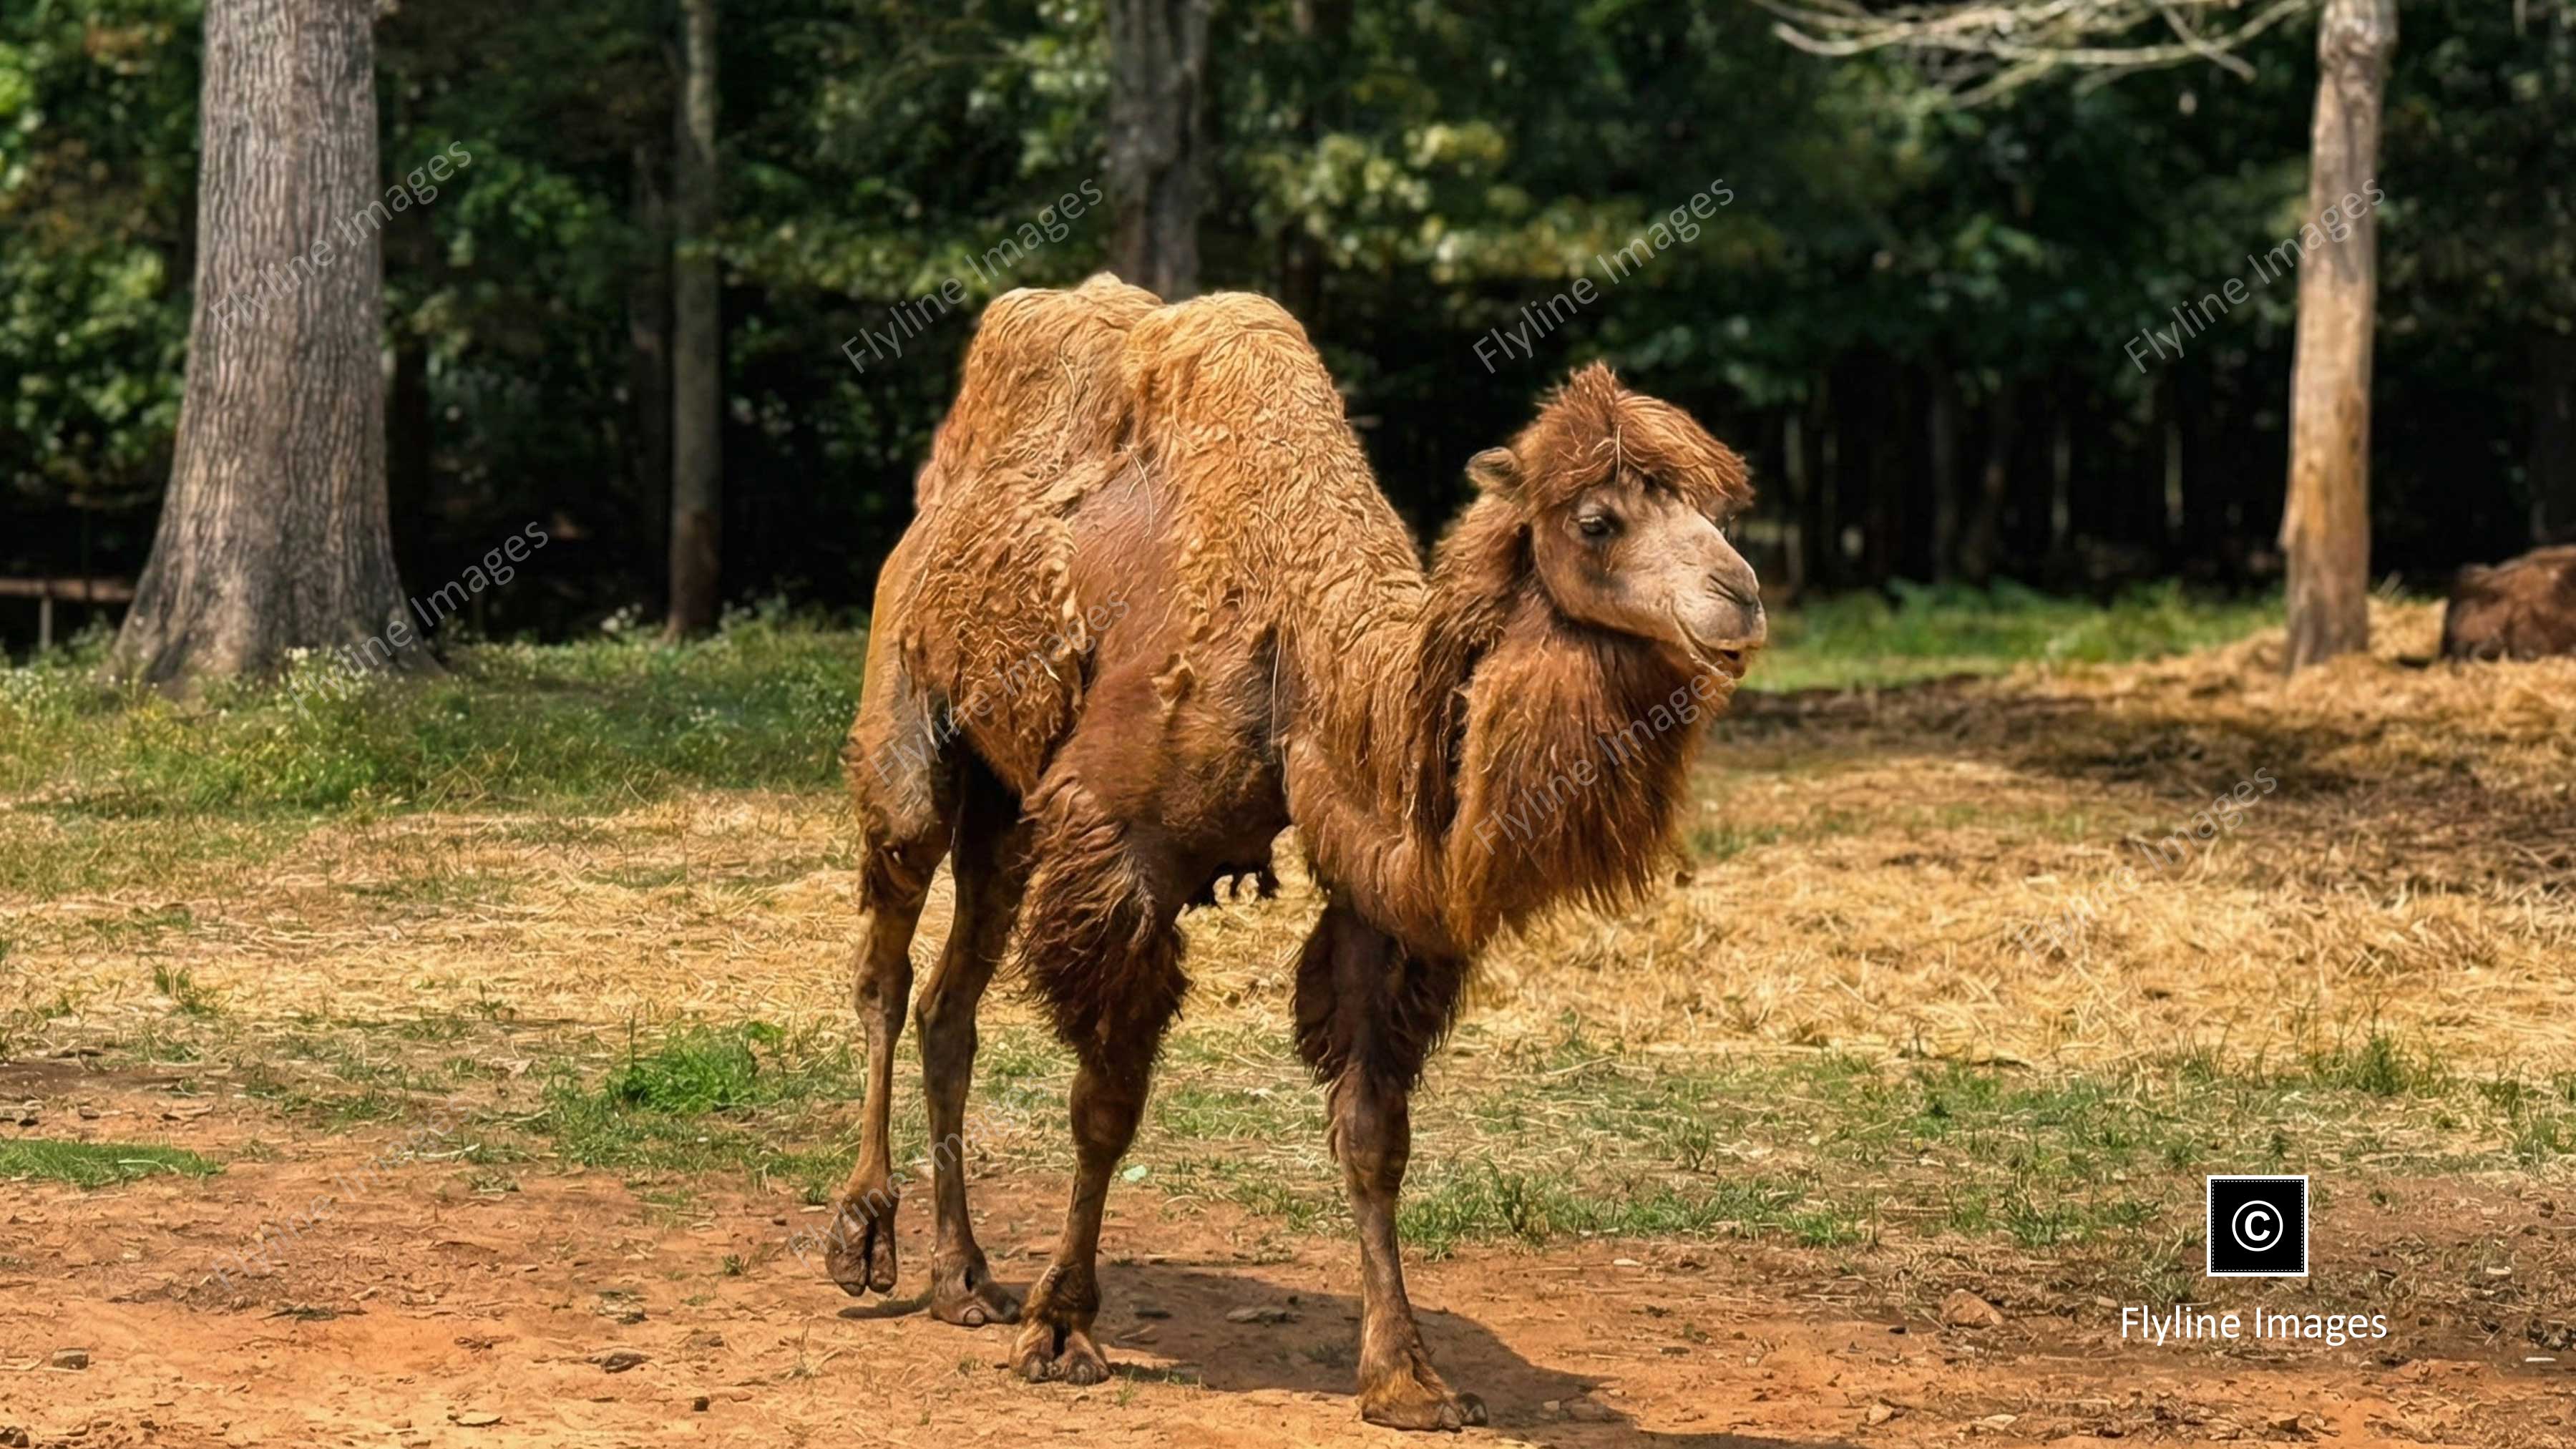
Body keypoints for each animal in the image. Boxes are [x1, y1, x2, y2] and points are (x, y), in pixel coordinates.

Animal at [822, 274, 1762, 1430]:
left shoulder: (1373, 889)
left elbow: (1373, 1132)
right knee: (886, 961)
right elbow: (1105, 1109)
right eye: (1597, 519)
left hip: (1007, 808)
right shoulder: (1116, 848)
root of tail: (931, 511)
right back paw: (864, 1238)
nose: (1741, 597)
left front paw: (1406, 1376)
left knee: (951, 1005)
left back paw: (965, 1279)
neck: (1307, 647)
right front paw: (1062, 1329)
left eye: (1718, 509)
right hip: (909, 716)